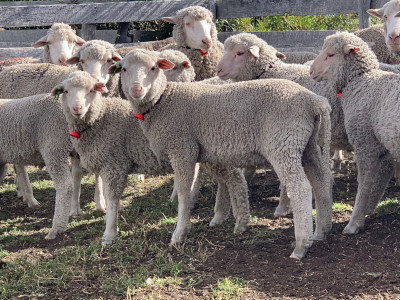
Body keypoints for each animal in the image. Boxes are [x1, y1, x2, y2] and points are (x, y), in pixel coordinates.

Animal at [55, 71, 252, 246]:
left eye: (90, 90)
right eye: (66, 91)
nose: (77, 109)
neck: (99, 118)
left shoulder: (114, 164)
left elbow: (112, 198)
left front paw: (109, 235)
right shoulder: (107, 165)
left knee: (234, 178)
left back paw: (237, 219)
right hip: (212, 154)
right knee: (230, 179)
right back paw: (227, 217)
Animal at [111, 48, 332, 258]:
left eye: (153, 68)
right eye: (124, 69)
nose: (136, 89)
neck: (163, 101)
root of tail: (313, 101)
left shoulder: (182, 149)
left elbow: (183, 192)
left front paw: (179, 233)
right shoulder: (202, 152)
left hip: (284, 144)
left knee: (301, 188)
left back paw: (301, 246)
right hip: (307, 146)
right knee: (320, 181)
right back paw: (321, 231)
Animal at [310, 31, 400, 236]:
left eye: (331, 54)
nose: (310, 71)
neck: (361, 81)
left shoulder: (365, 142)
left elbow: (365, 183)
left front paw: (354, 223)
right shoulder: (380, 144)